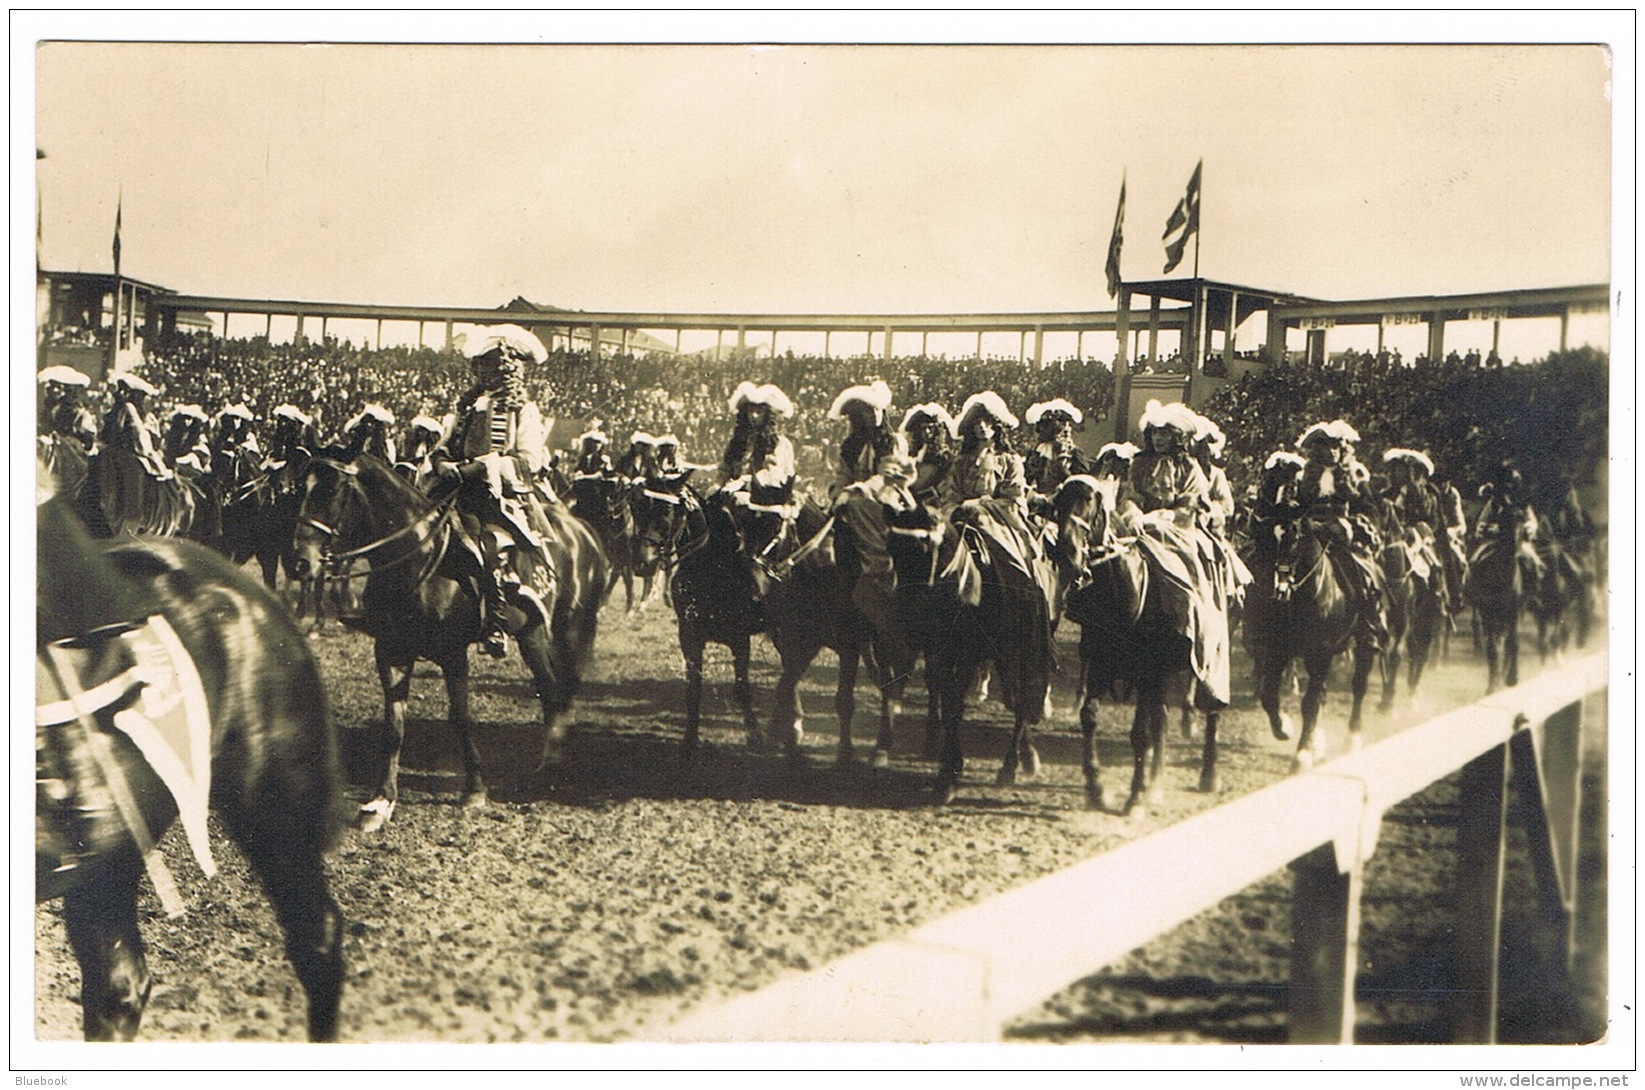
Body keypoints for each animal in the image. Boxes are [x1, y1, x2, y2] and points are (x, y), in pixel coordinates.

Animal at [292, 450, 608, 828]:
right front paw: (381, 801)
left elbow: (460, 718)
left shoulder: (452, 653)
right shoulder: (391, 651)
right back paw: (548, 760)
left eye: (335, 490)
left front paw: (474, 789)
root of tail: (583, 531)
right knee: (550, 688)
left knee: (562, 687)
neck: (420, 559)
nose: (301, 562)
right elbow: (394, 726)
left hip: (571, 626)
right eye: (301, 487)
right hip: (531, 631)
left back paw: (553, 764)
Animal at [1052, 480, 1223, 818]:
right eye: (1059, 502)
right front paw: (1097, 788)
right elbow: (1089, 717)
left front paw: (1135, 798)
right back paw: (1156, 782)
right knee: (1162, 720)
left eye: (1090, 503)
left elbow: (1140, 734)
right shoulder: (1101, 664)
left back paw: (1207, 775)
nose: (1068, 554)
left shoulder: (1148, 672)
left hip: (1208, 655)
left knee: (1209, 708)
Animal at [1243, 457, 1375, 766]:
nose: (1277, 589)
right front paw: (1285, 729)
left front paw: (1302, 754)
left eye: (1294, 537)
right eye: (1266, 539)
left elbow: (1310, 702)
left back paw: (1353, 738)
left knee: (1359, 685)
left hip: (1365, 642)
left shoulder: (1321, 652)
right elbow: (1269, 695)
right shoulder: (1278, 649)